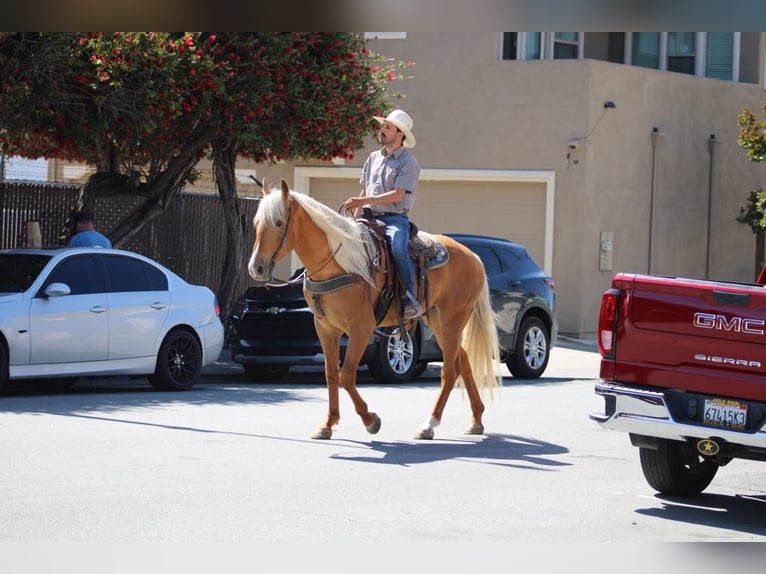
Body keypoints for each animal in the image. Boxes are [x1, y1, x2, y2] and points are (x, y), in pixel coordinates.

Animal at [247, 179, 502, 440]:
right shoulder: (325, 328)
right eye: (257, 223)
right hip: (437, 320)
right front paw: (327, 424)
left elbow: (346, 375)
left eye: (279, 223)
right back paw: (476, 419)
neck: (338, 264)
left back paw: (429, 425)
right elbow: (331, 374)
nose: (256, 268)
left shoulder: (361, 328)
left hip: (453, 320)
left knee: (449, 371)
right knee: (463, 360)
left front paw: (371, 420)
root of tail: (474, 257)